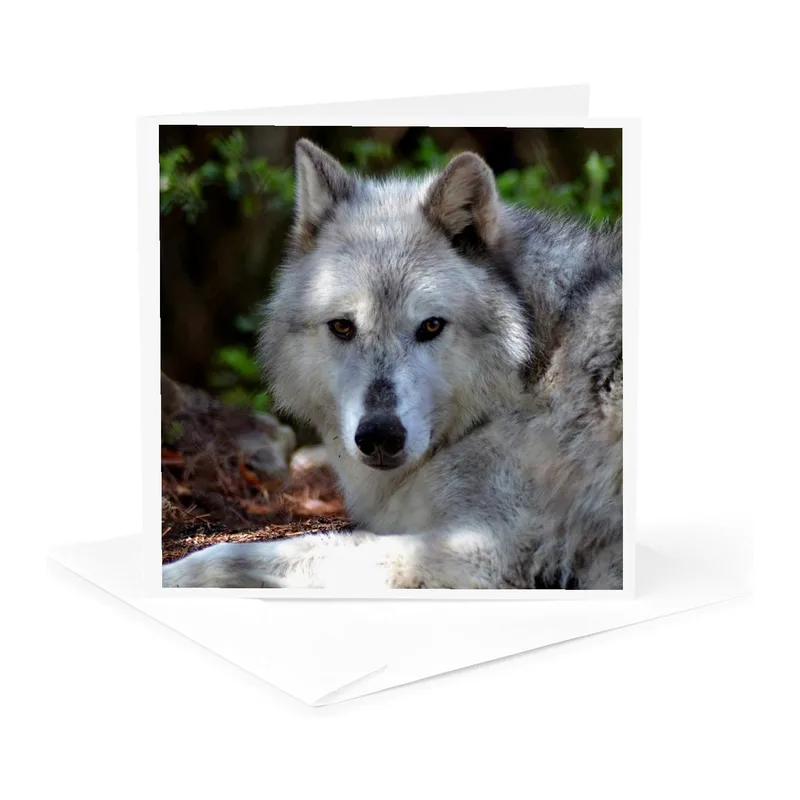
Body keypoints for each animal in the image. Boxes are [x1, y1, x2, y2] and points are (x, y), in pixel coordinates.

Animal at [162, 138, 623, 590]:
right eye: (343, 326)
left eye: (431, 325)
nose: (380, 436)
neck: (533, 371)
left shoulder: (482, 550)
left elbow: (246, 555)